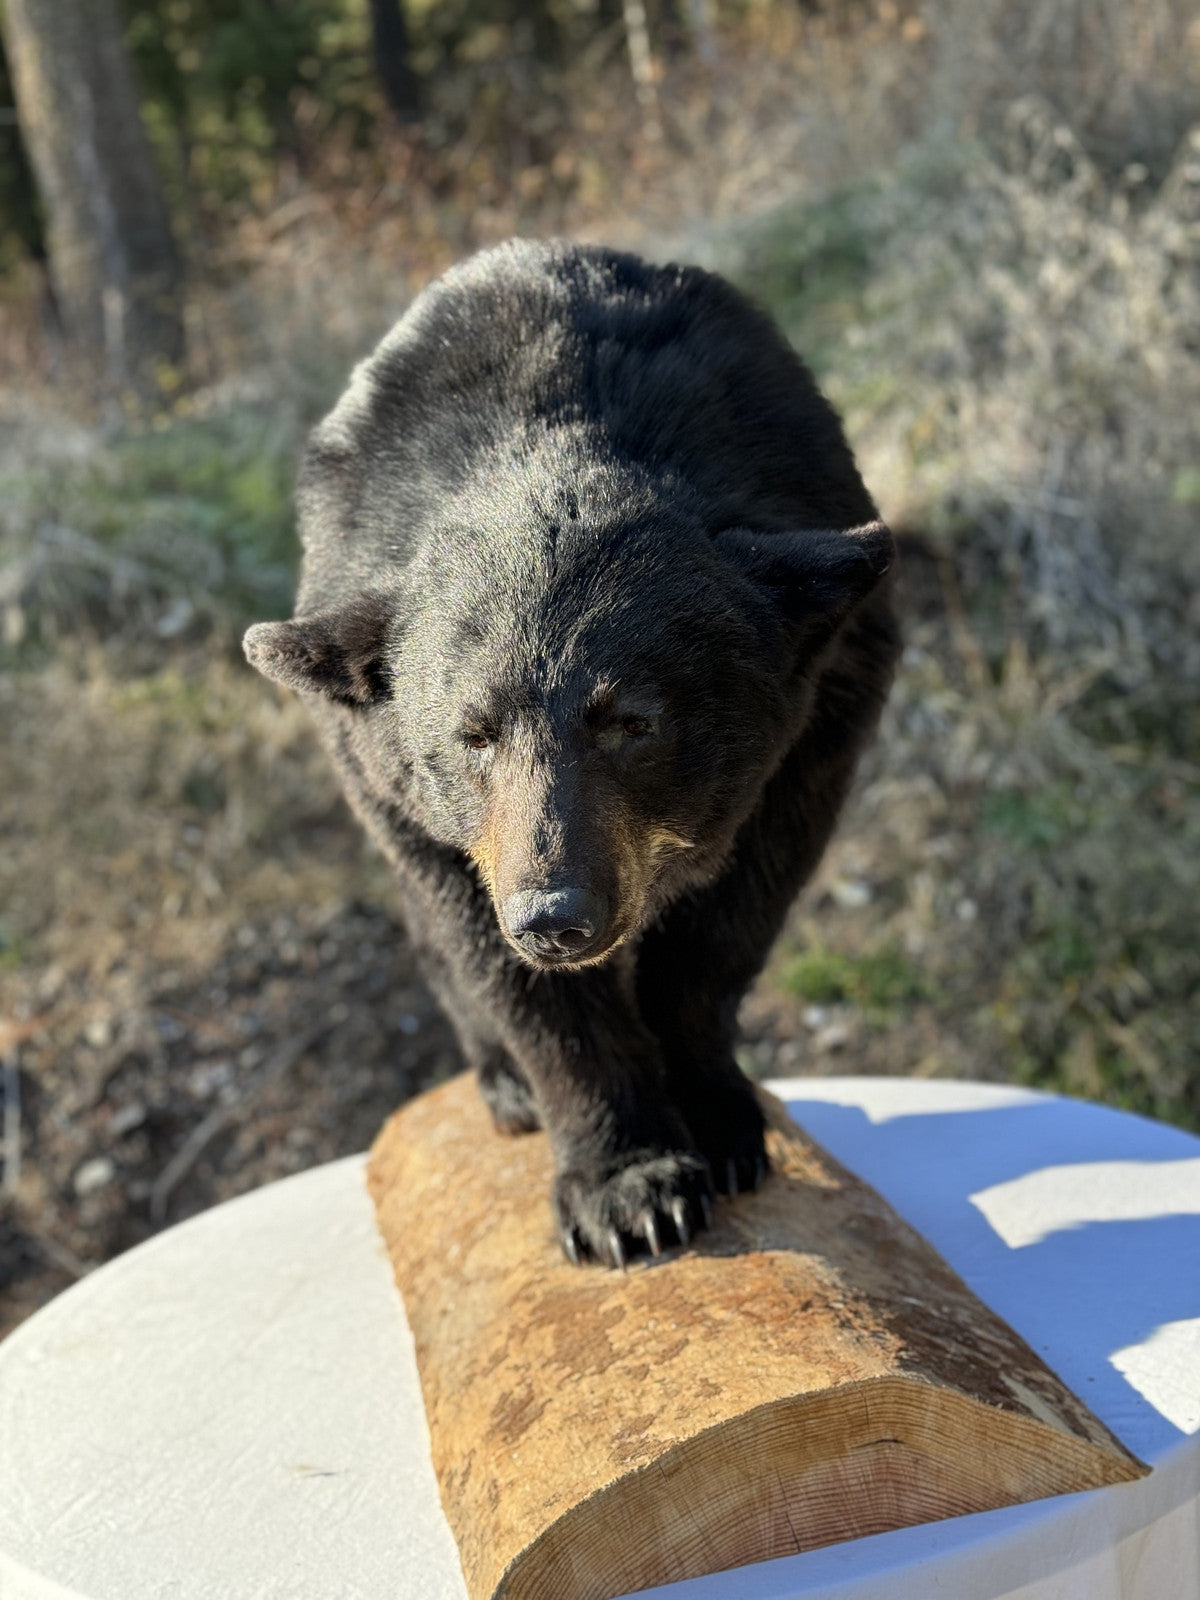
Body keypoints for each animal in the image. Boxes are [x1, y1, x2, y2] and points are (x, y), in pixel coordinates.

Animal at [244, 239, 899, 1268]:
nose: (556, 914)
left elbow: (733, 921)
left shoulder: (826, 710)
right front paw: (629, 1189)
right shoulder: (398, 791)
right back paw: (502, 1082)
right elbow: (501, 967)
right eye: (471, 734)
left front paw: (717, 1117)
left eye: (630, 720)